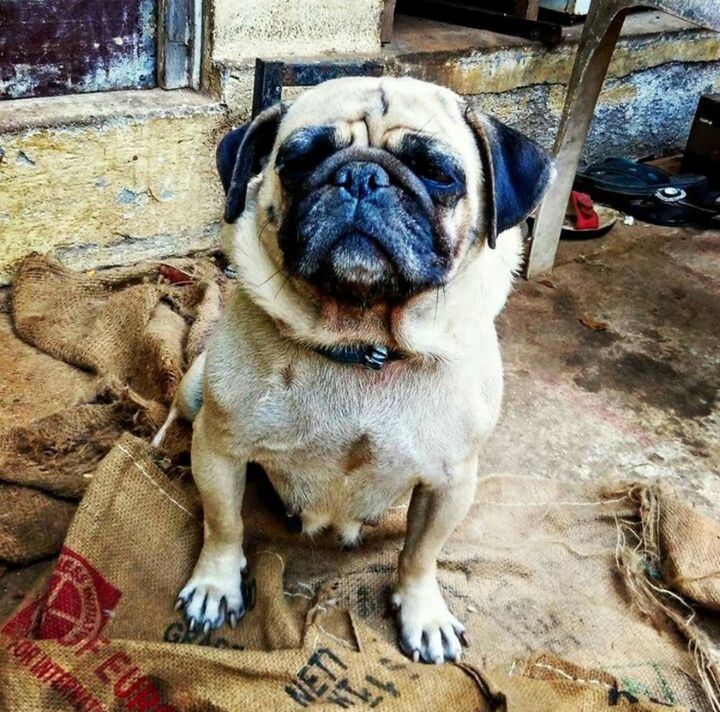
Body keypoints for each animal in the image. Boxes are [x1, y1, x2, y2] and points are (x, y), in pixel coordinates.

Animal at [158, 78, 552, 668]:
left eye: (437, 172)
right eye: (300, 160)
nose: (361, 177)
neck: (362, 342)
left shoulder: (451, 482)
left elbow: (420, 554)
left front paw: (423, 613)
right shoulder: (221, 451)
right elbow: (223, 524)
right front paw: (215, 585)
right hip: (193, 391)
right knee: (178, 415)